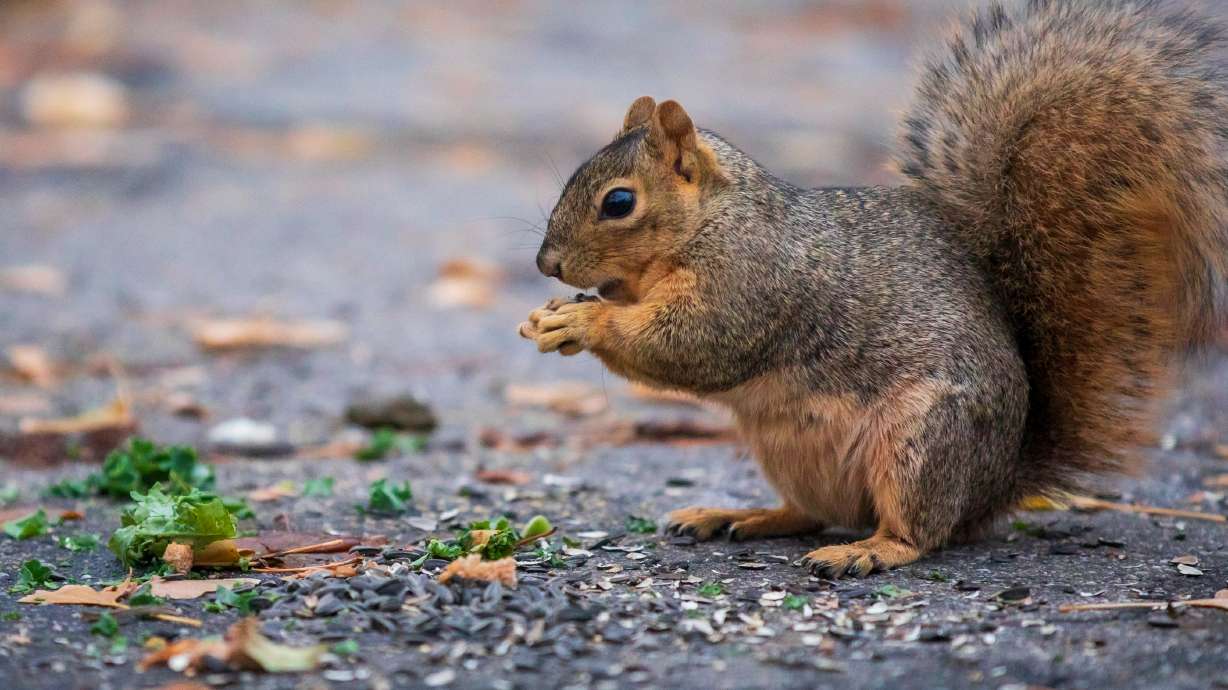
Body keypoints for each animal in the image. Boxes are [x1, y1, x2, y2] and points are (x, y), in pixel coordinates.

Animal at [518, 0, 1228, 577]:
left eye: (618, 202)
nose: (547, 264)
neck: (713, 220)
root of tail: (996, 483)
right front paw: (552, 316)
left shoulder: (750, 284)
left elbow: (691, 347)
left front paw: (580, 322)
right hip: (788, 449)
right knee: (811, 511)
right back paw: (740, 516)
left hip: (922, 440)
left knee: (917, 532)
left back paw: (868, 551)